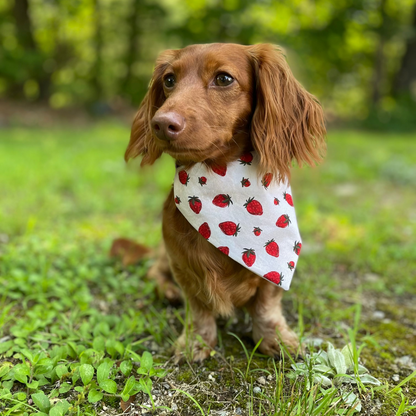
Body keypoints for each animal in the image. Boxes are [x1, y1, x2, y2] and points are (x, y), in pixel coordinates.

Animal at [123, 43, 324, 360]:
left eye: (224, 78)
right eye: (169, 80)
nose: (162, 123)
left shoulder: (276, 268)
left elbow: (267, 305)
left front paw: (277, 338)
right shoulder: (183, 264)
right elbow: (198, 305)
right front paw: (196, 341)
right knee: (154, 271)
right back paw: (168, 291)